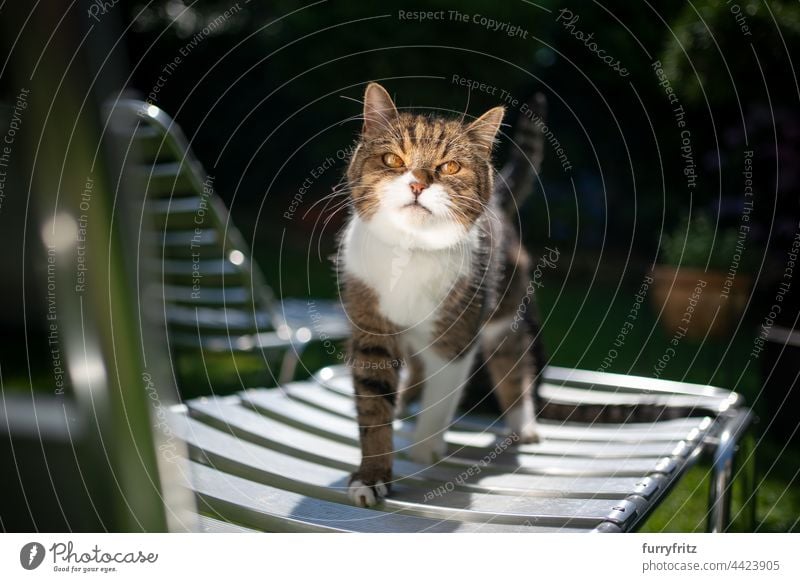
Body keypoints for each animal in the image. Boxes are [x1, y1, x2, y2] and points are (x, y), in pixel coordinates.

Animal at [338, 84, 544, 508]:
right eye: (392, 159)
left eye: (450, 167)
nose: (418, 184)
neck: (410, 251)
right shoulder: (370, 327)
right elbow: (373, 403)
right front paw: (372, 477)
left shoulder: (457, 335)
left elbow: (442, 392)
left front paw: (423, 449)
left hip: (504, 311)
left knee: (513, 364)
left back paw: (523, 423)